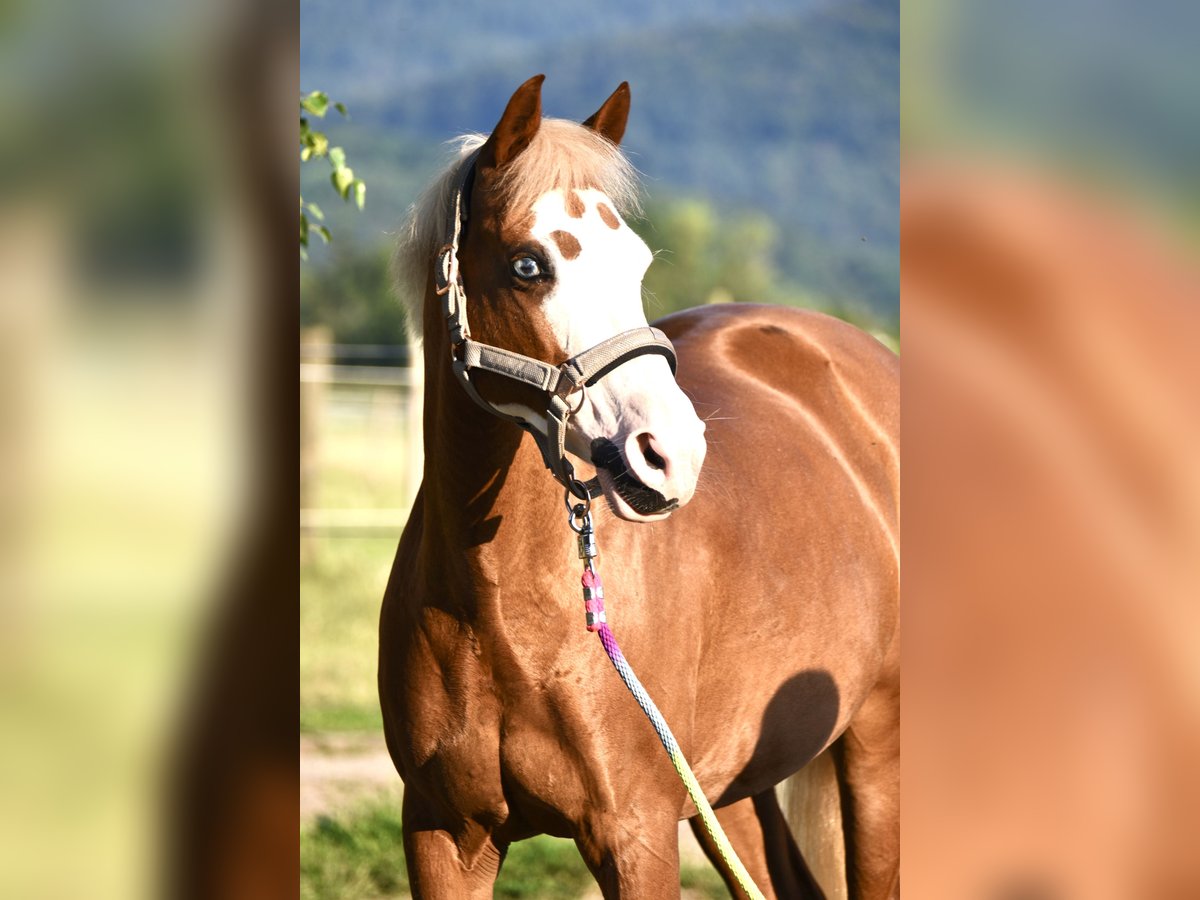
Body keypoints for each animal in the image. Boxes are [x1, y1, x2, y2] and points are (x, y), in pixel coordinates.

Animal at [379, 74, 897, 897]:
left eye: (639, 262)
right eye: (528, 266)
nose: (673, 453)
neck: (500, 609)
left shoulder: (635, 834)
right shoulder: (443, 834)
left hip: (876, 750)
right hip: (731, 791)